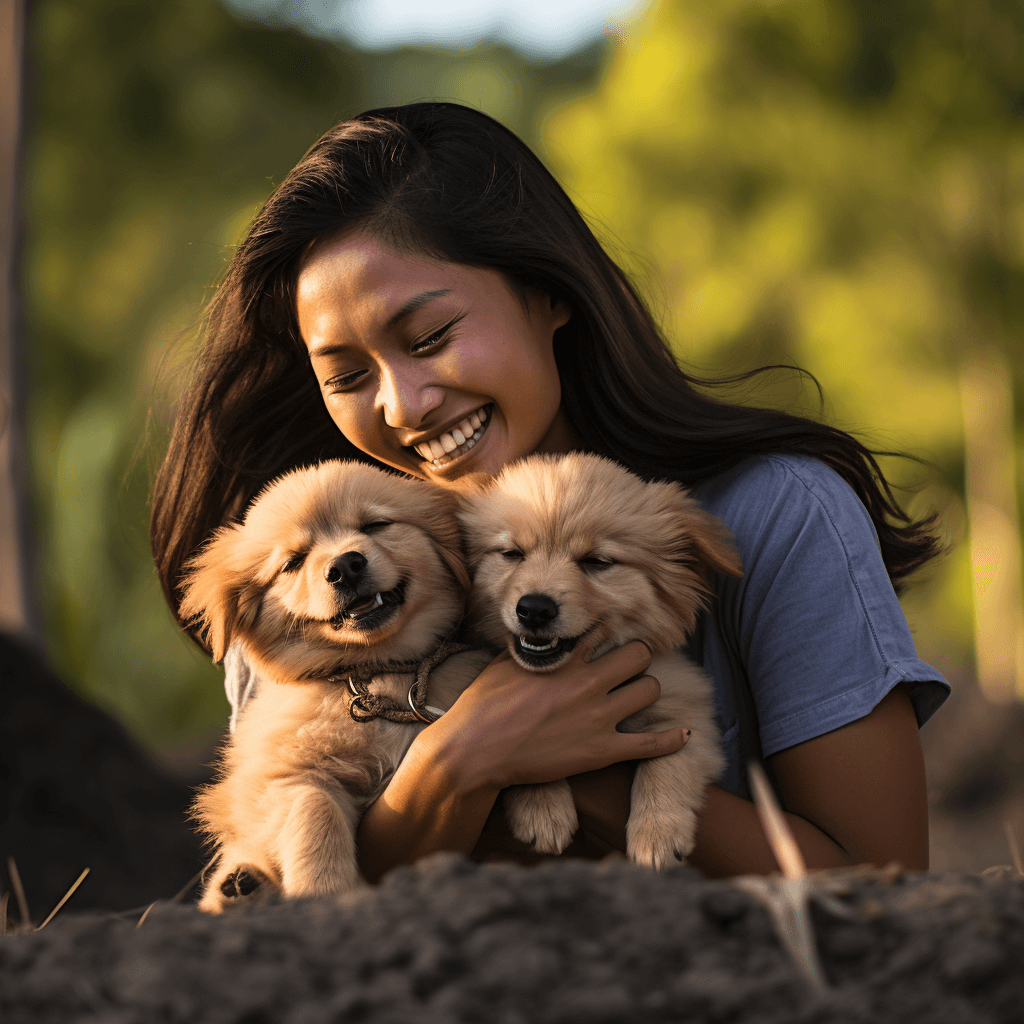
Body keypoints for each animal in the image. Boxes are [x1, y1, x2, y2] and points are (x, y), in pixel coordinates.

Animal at [180, 460, 491, 917]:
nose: (344, 566)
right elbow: (316, 808)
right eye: (293, 562)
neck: (376, 675)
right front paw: (325, 890)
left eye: (376, 525)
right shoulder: (280, 778)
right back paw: (239, 889)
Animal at [460, 452, 741, 868]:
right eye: (512, 554)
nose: (534, 609)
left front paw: (657, 833)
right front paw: (543, 806)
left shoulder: (690, 714)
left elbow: (667, 762)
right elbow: (529, 754)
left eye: (597, 561)